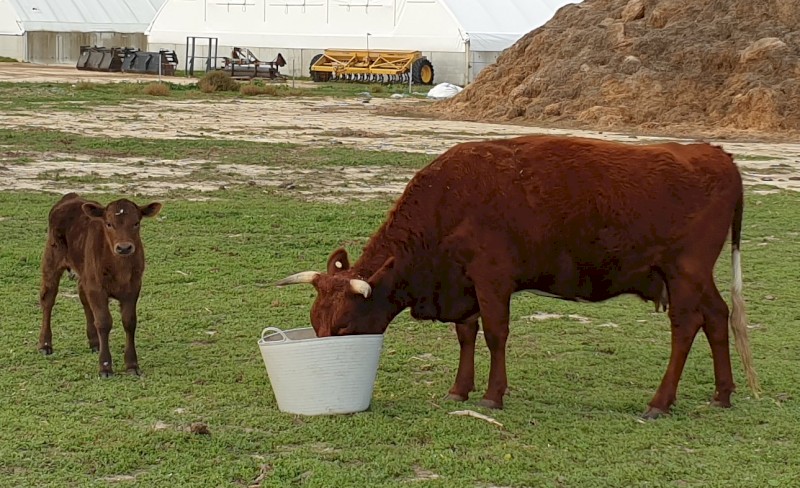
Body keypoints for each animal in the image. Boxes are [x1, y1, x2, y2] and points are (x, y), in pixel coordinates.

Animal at [38, 193, 162, 377]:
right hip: (52, 259)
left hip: (85, 274)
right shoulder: (97, 288)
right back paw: (45, 344)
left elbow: (129, 321)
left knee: (83, 296)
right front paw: (105, 366)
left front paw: (132, 365)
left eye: (136, 223)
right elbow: (104, 322)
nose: (124, 248)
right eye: (109, 224)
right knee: (48, 299)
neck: (120, 267)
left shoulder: (133, 287)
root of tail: (70, 197)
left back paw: (94, 342)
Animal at [276, 135, 760, 418]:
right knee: (717, 318)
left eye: (343, 327)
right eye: (316, 324)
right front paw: (459, 389)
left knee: (686, 326)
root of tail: (715, 153)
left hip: (685, 271)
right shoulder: (464, 284)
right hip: (696, 276)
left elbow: (495, 333)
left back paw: (660, 402)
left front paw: (492, 395)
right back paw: (722, 394)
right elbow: (466, 334)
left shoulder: (491, 276)